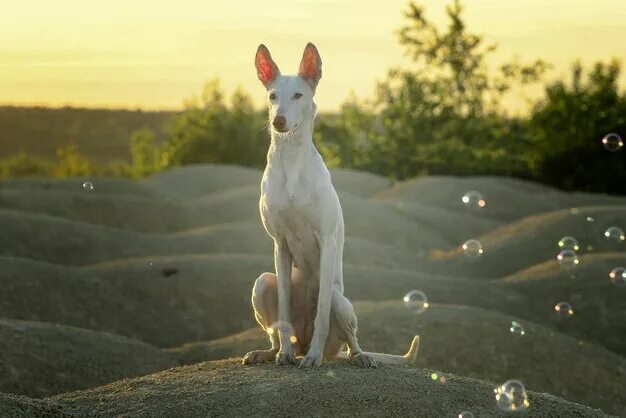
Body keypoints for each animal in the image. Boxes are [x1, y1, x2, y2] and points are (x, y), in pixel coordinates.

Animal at [241, 43, 416, 370]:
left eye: (298, 95)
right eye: (273, 96)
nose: (278, 122)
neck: (292, 161)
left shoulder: (327, 239)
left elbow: (322, 313)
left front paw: (312, 359)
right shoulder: (280, 244)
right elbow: (282, 315)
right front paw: (283, 354)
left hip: (340, 302)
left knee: (350, 339)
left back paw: (352, 356)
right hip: (263, 283)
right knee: (277, 329)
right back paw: (273, 352)